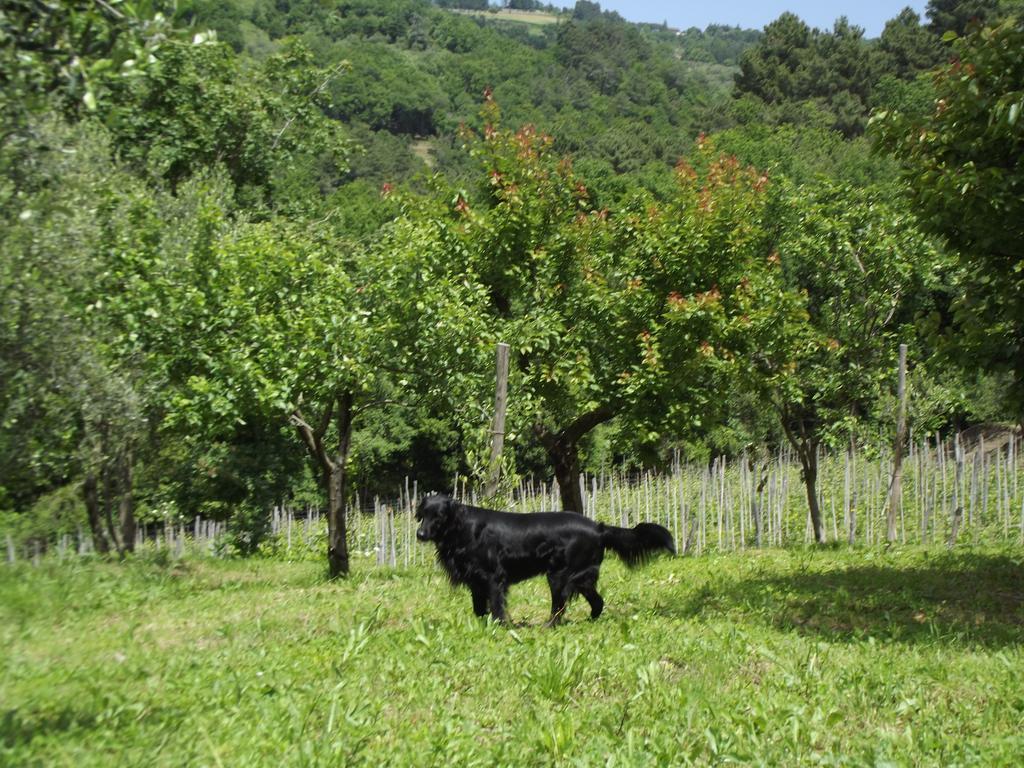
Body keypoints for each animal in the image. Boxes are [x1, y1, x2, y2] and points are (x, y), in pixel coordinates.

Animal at [411, 495, 675, 626]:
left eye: (439, 515)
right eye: (423, 514)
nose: (420, 534)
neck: (462, 528)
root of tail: (598, 528)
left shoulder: (494, 577)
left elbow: (496, 607)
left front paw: (501, 627)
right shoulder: (476, 580)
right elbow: (479, 609)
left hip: (559, 576)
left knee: (559, 607)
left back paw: (548, 626)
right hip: (579, 577)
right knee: (597, 601)